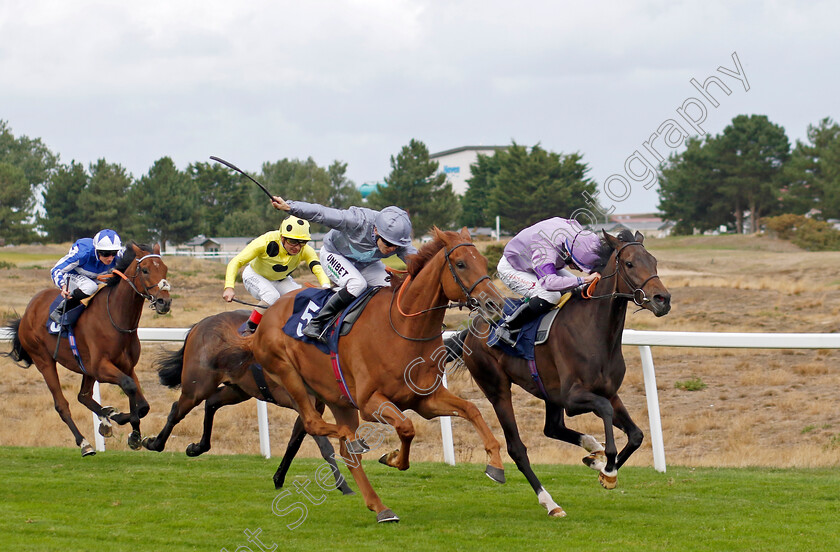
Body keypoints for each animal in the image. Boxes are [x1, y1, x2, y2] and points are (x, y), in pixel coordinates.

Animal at [4, 244, 172, 454]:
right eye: (146, 270)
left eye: (165, 269)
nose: (164, 302)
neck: (116, 317)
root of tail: (27, 312)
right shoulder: (101, 368)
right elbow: (130, 386)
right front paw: (131, 431)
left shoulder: (126, 366)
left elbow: (143, 406)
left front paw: (126, 427)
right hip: (44, 360)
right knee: (62, 404)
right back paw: (85, 443)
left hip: (85, 367)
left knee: (83, 396)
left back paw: (107, 418)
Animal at [141, 308, 352, 494]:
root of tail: (201, 324)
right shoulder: (302, 403)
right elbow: (324, 446)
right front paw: (344, 485)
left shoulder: (314, 407)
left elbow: (294, 443)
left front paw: (278, 478)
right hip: (197, 387)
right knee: (176, 410)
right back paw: (154, 443)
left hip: (239, 389)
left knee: (212, 402)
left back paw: (198, 447)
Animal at [218, 226, 506, 524]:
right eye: (460, 264)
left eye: (483, 262)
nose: (496, 304)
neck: (403, 328)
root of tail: (267, 315)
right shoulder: (370, 403)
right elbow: (407, 427)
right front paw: (392, 457)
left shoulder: (426, 399)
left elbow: (471, 409)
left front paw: (495, 464)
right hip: (289, 375)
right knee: (315, 425)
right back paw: (355, 443)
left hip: (338, 399)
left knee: (346, 450)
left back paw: (380, 507)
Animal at [446, 230, 668, 516]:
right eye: (629, 263)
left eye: (653, 261)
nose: (663, 299)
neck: (596, 331)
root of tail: (474, 327)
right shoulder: (573, 397)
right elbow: (605, 410)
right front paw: (607, 466)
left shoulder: (608, 392)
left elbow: (636, 435)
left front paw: (603, 468)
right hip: (497, 389)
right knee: (517, 448)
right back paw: (550, 503)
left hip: (547, 391)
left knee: (552, 428)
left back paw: (591, 448)